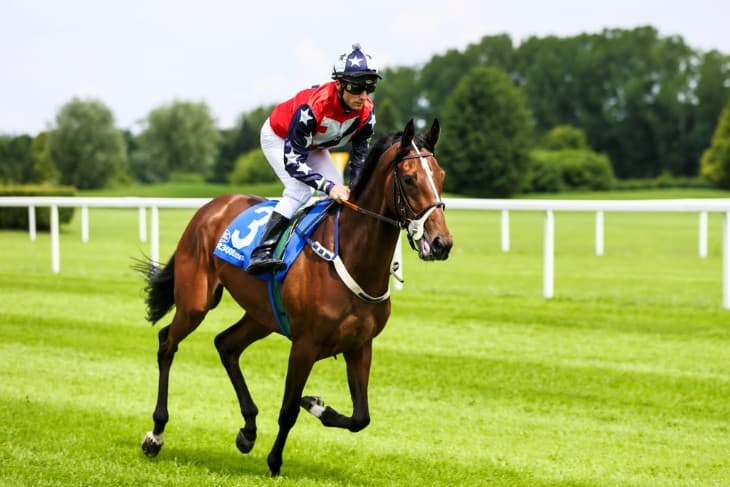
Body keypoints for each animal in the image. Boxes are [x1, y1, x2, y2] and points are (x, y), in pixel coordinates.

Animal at [137, 118, 452, 477]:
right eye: (410, 178)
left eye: (440, 175)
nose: (441, 243)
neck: (353, 257)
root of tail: (210, 207)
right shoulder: (305, 345)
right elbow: (288, 410)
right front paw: (275, 462)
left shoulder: (360, 345)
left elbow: (361, 417)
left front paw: (316, 405)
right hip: (195, 302)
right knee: (167, 343)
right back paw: (156, 434)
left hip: (261, 316)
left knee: (226, 344)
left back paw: (248, 429)